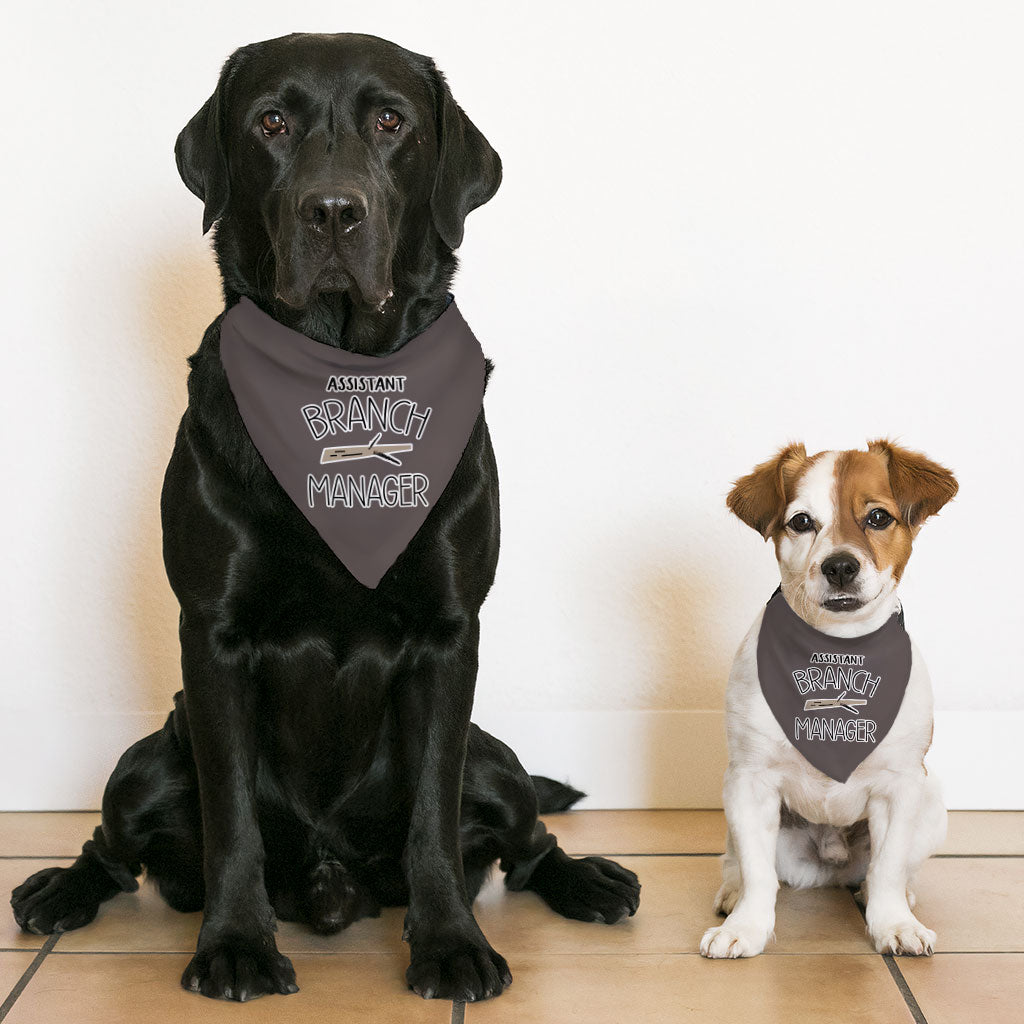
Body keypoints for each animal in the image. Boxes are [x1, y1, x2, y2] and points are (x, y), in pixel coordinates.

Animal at [9, 29, 638, 999]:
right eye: (271, 122)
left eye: (391, 122)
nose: (333, 211)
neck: (342, 378)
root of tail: (332, 875)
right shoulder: (214, 635)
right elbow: (232, 817)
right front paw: (234, 944)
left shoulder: (450, 635)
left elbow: (432, 818)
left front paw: (450, 945)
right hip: (146, 761)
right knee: (112, 844)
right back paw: (60, 890)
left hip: (493, 760)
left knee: (528, 834)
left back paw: (588, 881)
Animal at [700, 438, 954, 958]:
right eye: (801, 521)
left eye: (878, 517)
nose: (839, 565)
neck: (838, 651)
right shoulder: (750, 782)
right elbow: (758, 873)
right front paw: (746, 927)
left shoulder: (900, 787)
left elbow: (888, 868)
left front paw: (893, 923)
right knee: (739, 863)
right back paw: (732, 892)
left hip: (932, 802)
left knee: (885, 871)